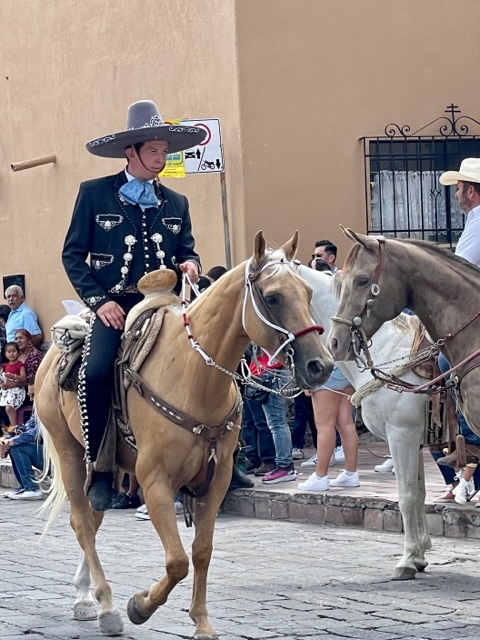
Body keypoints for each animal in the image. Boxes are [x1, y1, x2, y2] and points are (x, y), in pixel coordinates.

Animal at [35, 231, 333, 640]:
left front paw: (202, 622)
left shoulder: (216, 479)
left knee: (91, 522)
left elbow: (201, 551)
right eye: (273, 297)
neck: (194, 376)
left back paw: (85, 597)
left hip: (105, 468)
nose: (321, 365)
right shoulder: (156, 481)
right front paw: (140, 606)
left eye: (307, 291)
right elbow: (177, 560)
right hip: (69, 454)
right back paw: (106, 606)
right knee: (82, 524)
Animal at [299, 265, 431, 580]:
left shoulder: (402, 435)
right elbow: (419, 493)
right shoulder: (415, 440)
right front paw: (419, 553)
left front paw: (408, 559)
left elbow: (407, 495)